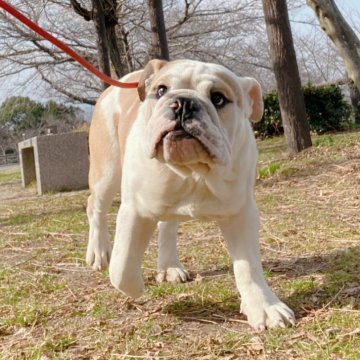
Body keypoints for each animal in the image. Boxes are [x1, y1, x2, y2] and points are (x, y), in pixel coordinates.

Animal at [86, 59, 296, 332]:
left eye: (218, 98)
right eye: (161, 91)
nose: (183, 103)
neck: (194, 171)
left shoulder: (241, 213)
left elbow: (248, 267)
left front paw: (264, 307)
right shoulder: (134, 210)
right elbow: (122, 267)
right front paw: (136, 288)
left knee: (167, 225)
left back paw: (169, 267)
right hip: (107, 171)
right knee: (96, 207)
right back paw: (99, 253)